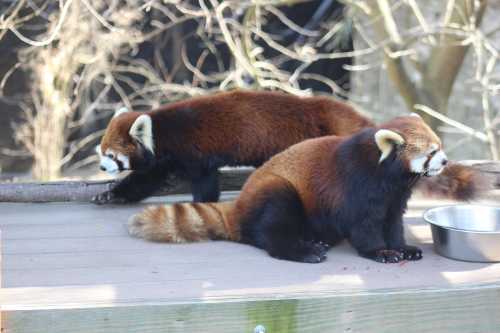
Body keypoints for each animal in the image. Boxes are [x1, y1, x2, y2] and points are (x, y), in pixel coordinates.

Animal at [94, 88, 484, 204]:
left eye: (111, 156)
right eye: (101, 153)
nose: (100, 167)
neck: (164, 130)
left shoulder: (196, 150)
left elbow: (203, 181)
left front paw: (203, 202)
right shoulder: (167, 159)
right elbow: (147, 179)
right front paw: (111, 194)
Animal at [128, 115, 450, 264]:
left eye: (440, 147)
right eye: (432, 152)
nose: (446, 161)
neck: (388, 177)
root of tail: (240, 204)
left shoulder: (394, 196)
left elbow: (393, 222)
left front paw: (402, 247)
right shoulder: (357, 186)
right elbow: (364, 225)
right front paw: (380, 251)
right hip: (276, 189)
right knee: (273, 224)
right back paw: (304, 250)